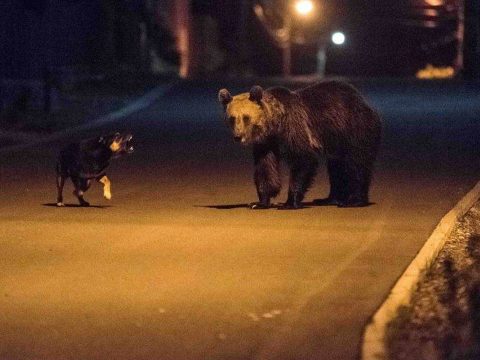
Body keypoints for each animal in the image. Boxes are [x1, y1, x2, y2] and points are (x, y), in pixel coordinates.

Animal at [218, 80, 382, 210]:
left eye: (246, 117)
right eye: (232, 118)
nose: (238, 137)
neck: (275, 123)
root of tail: (365, 102)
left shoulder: (295, 127)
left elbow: (303, 159)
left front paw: (289, 202)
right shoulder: (266, 142)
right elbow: (265, 167)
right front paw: (259, 202)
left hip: (354, 129)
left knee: (356, 164)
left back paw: (353, 201)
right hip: (336, 142)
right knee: (336, 167)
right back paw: (328, 199)